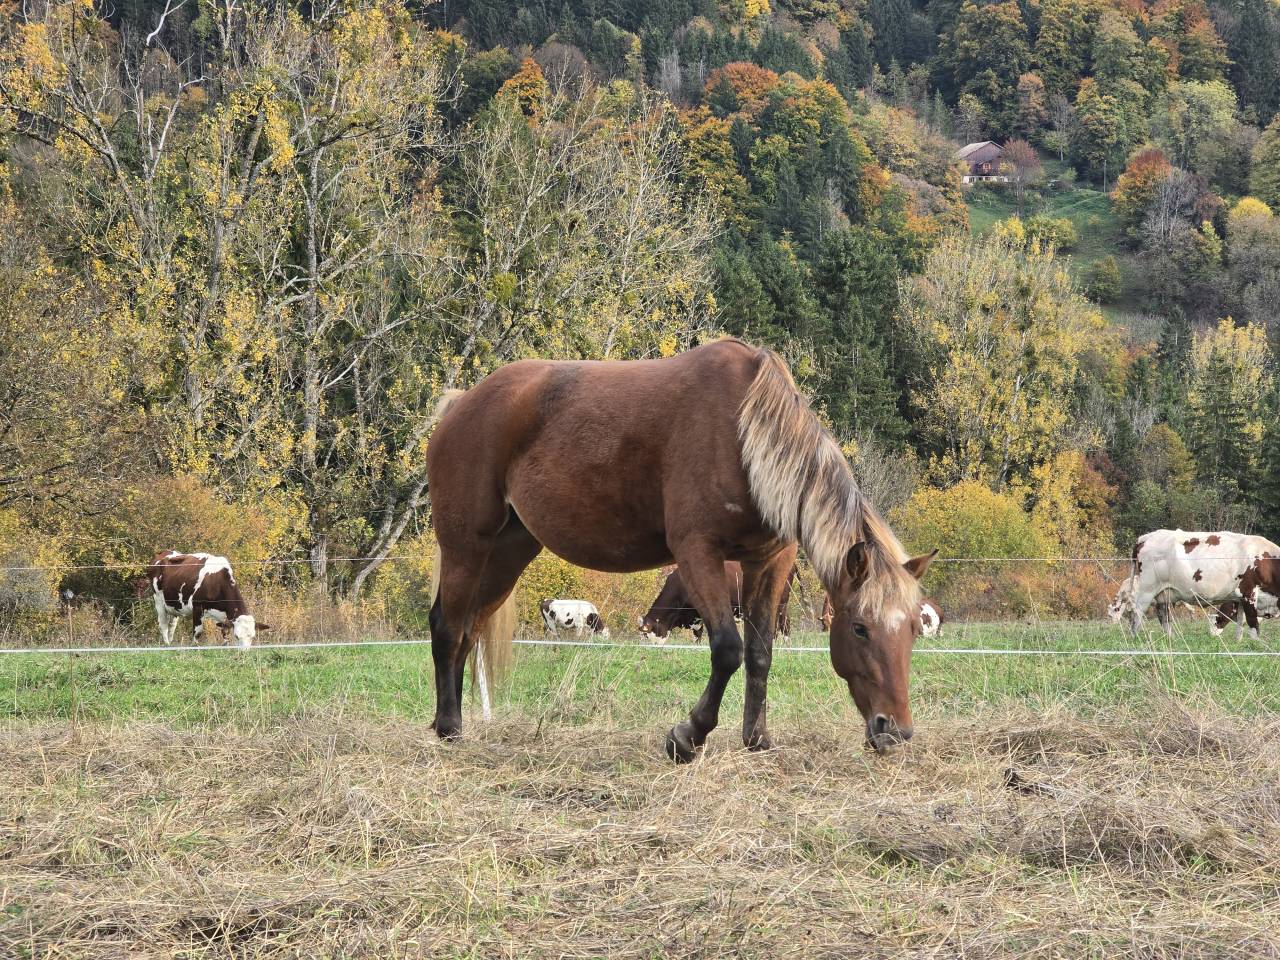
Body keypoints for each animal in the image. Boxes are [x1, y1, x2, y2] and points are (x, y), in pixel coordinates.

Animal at [426, 339, 935, 759]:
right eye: (860, 628)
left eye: (914, 627)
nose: (895, 731)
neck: (743, 431)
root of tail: (461, 404)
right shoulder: (697, 553)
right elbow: (728, 649)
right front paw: (687, 737)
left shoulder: (769, 562)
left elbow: (761, 652)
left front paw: (757, 738)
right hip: (466, 546)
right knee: (447, 625)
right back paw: (449, 726)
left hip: (508, 552)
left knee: (469, 627)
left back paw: (448, 721)